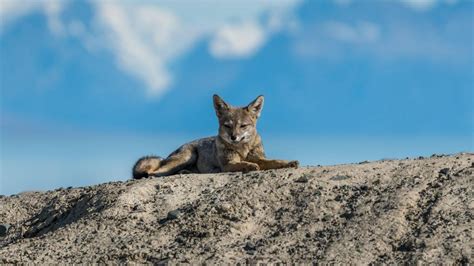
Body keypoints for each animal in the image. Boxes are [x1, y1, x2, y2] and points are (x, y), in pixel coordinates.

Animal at [131, 94, 298, 180]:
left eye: (243, 126)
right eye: (228, 126)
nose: (233, 137)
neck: (242, 150)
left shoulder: (260, 158)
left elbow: (274, 161)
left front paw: (288, 163)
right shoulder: (228, 164)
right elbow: (243, 164)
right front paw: (249, 166)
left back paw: (187, 172)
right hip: (186, 157)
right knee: (154, 173)